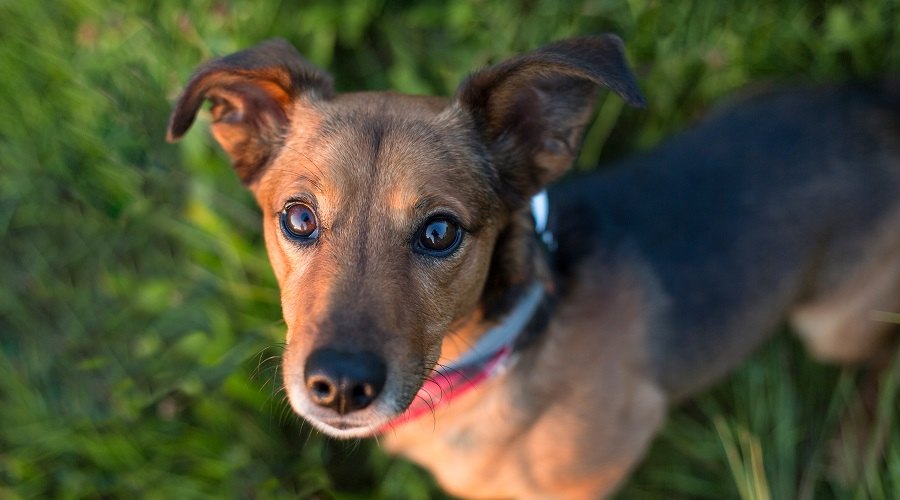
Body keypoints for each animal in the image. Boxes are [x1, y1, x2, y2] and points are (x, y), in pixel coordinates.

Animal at [165, 34, 896, 496]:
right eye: (298, 218)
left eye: (440, 231)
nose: (340, 387)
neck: (503, 344)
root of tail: (878, 103)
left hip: (829, 326)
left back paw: (856, 448)